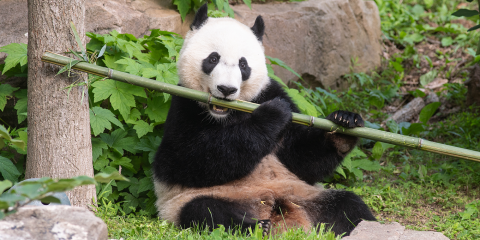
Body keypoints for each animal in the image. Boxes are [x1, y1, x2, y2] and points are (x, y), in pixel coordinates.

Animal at [152, 3, 376, 236]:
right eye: (212, 59)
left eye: (243, 65)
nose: (226, 89)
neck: (228, 114)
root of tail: (280, 214)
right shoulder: (183, 106)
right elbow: (185, 160)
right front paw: (273, 115)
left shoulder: (269, 92)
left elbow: (302, 160)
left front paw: (344, 122)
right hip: (193, 202)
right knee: (206, 212)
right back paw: (256, 226)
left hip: (306, 195)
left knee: (348, 205)